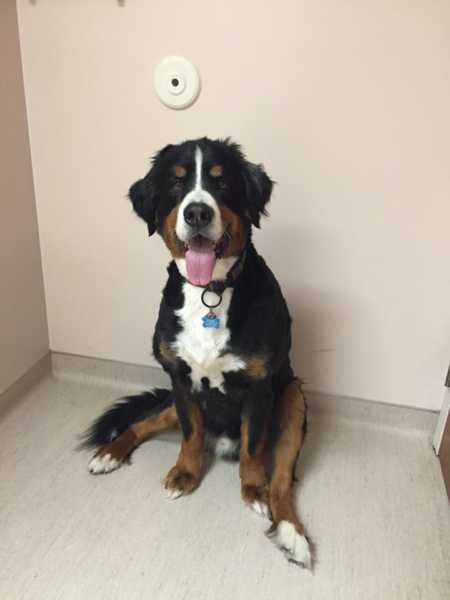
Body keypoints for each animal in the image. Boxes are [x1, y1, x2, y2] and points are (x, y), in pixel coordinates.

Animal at [82, 136, 312, 568]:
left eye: (221, 183)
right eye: (176, 183)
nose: (198, 212)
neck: (210, 293)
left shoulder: (259, 388)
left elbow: (254, 449)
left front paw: (252, 489)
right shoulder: (179, 379)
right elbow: (190, 436)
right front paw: (185, 474)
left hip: (293, 397)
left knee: (282, 478)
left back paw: (292, 534)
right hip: (174, 403)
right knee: (142, 424)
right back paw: (110, 454)